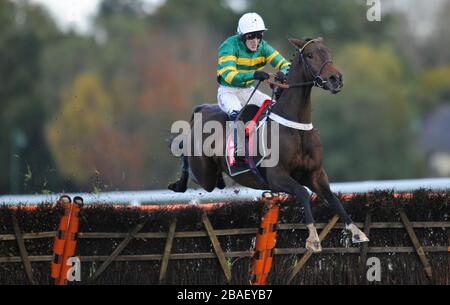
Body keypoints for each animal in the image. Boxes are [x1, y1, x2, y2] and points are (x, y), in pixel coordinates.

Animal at [169, 38, 370, 252]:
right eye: (310, 55)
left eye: (328, 52)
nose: (335, 78)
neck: (296, 125)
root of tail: (203, 108)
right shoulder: (276, 177)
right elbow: (302, 192)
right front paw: (313, 238)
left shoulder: (315, 174)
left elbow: (334, 199)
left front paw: (356, 231)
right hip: (204, 174)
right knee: (191, 166)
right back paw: (178, 180)